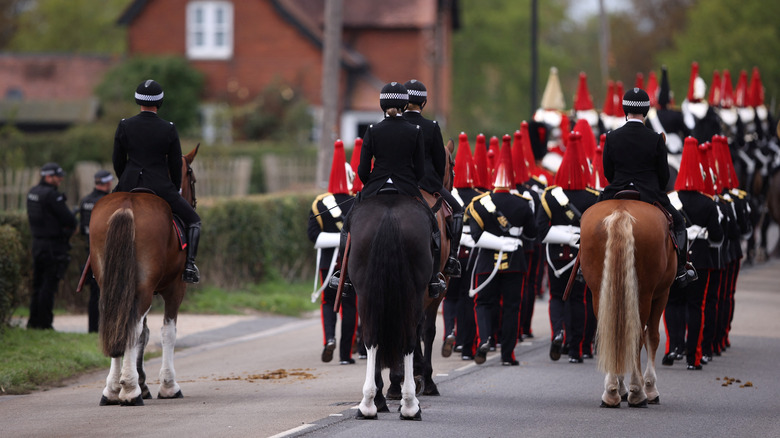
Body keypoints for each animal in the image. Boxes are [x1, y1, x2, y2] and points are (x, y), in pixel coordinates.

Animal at [88, 145, 200, 406]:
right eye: (192, 178)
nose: (193, 202)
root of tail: (127, 205)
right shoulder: (174, 289)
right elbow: (167, 333)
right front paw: (167, 386)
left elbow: (143, 335)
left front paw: (140, 384)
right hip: (146, 289)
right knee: (131, 326)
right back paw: (130, 391)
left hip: (115, 285)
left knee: (116, 323)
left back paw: (112, 391)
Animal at [352, 196, 436, 420]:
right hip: (413, 295)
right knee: (408, 340)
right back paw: (409, 404)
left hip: (367, 293)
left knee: (373, 339)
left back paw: (369, 404)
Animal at [580, 198, 676, 408]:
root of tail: (621, 210)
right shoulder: (662, 294)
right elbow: (652, 337)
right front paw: (649, 387)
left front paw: (620, 387)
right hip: (645, 294)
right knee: (637, 336)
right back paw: (638, 393)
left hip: (599, 291)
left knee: (611, 331)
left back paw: (610, 393)